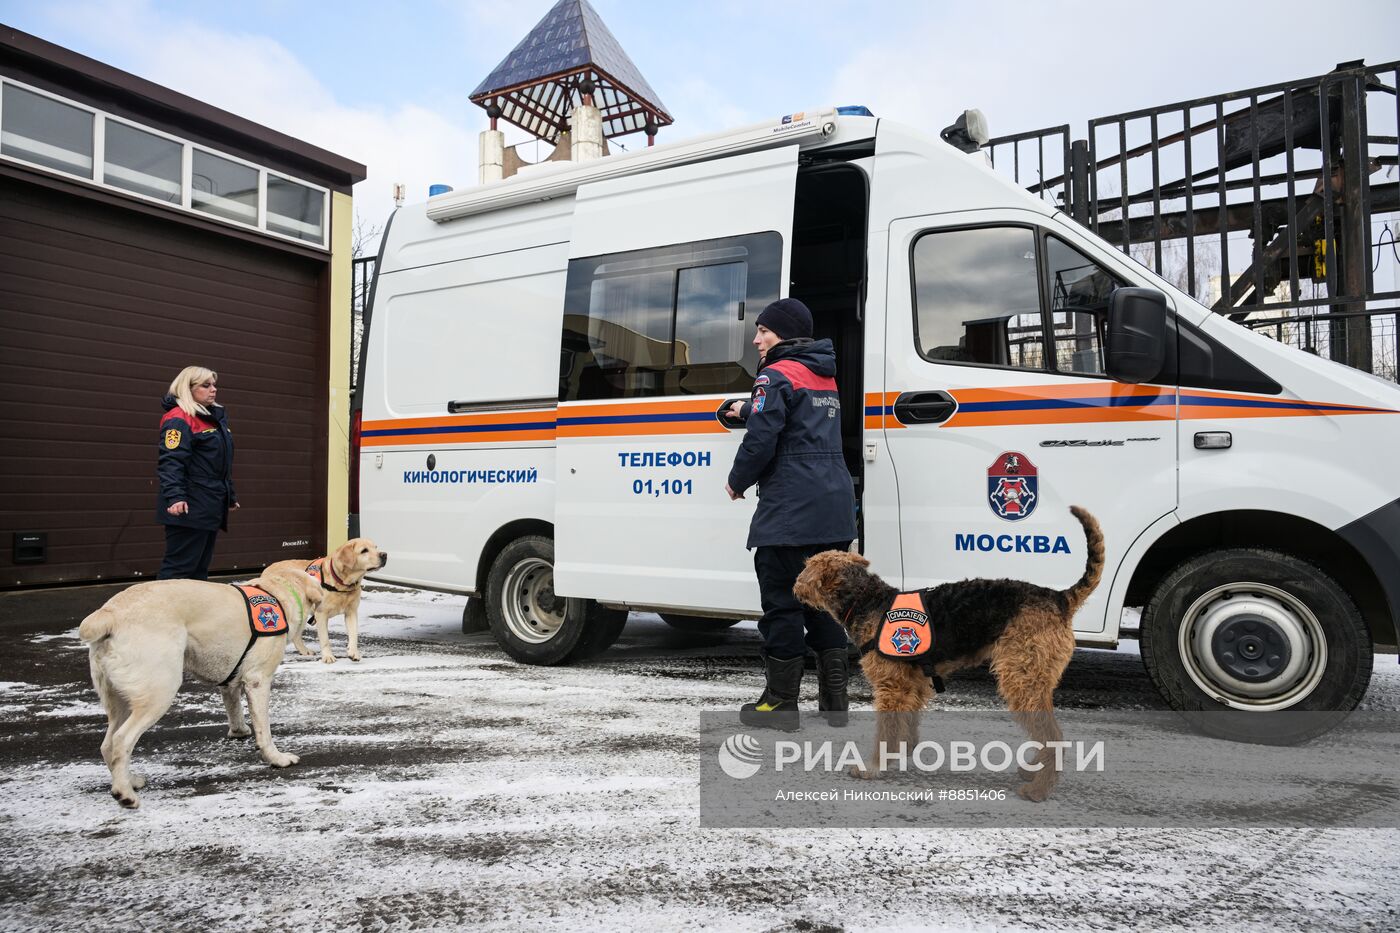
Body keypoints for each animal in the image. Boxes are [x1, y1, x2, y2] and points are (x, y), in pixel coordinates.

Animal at [80, 565, 324, 806]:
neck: (277, 592)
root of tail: (110, 613)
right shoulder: (258, 680)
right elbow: (264, 730)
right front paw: (276, 758)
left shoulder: (231, 682)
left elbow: (234, 707)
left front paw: (239, 731)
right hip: (159, 691)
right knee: (122, 739)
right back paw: (124, 793)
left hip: (120, 699)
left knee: (108, 744)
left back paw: (129, 780)